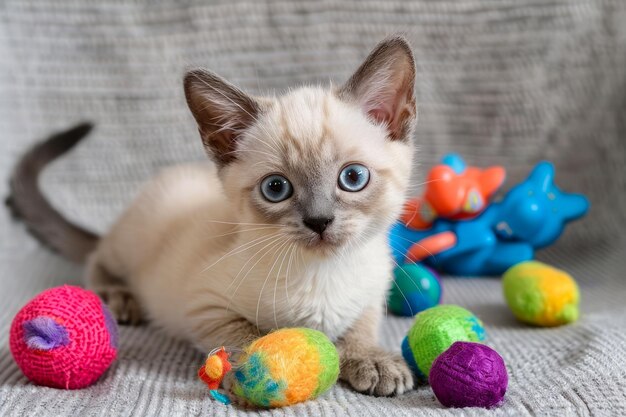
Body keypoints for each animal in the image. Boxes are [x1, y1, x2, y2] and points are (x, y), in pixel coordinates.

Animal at [7, 36, 416, 396]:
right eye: (276, 188)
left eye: (353, 178)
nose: (319, 221)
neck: (323, 274)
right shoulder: (206, 306)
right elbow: (246, 334)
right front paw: (258, 368)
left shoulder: (373, 292)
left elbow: (360, 327)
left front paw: (373, 361)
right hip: (130, 243)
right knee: (97, 257)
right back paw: (118, 296)